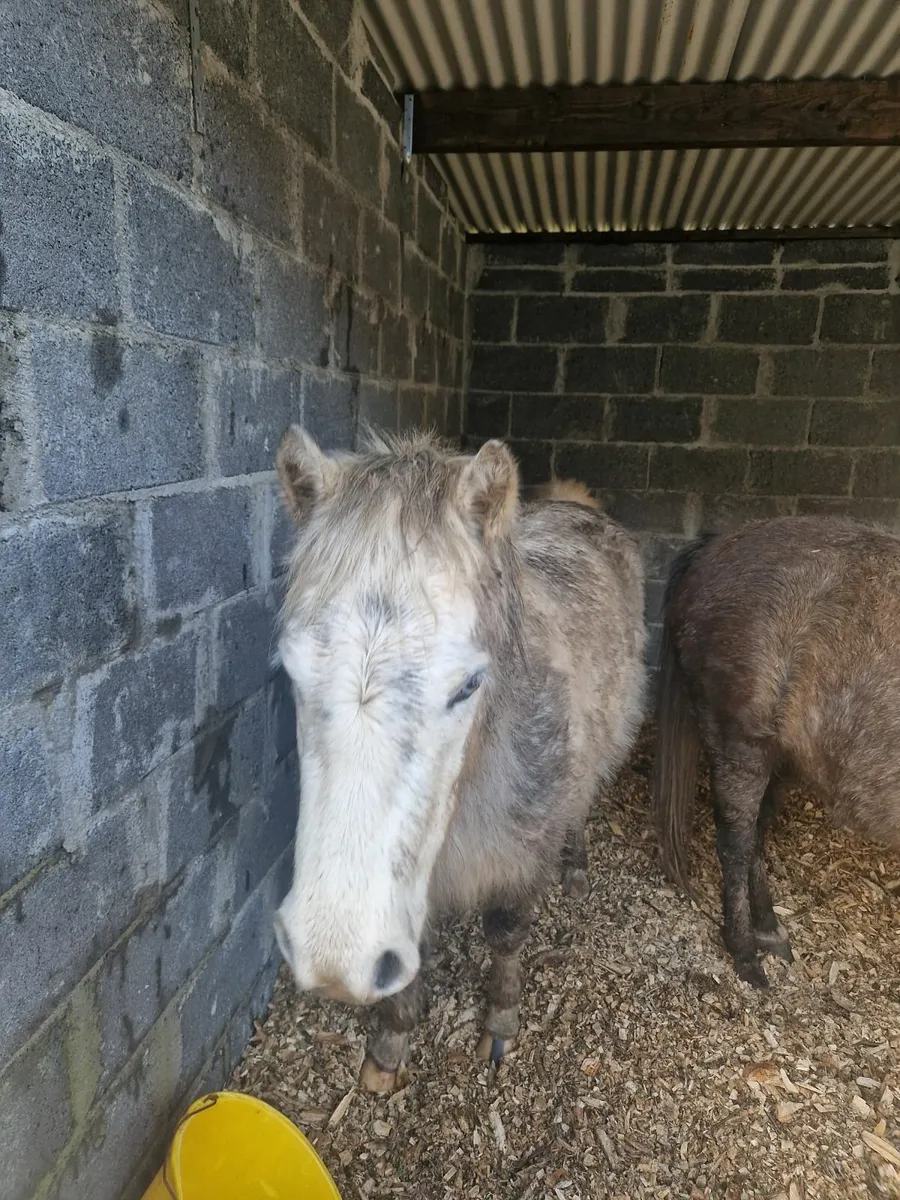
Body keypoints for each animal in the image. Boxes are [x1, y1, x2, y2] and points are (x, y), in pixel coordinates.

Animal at [272, 427, 647, 1091]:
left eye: (469, 684)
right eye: (292, 671)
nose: (336, 961)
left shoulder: (522, 859)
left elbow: (506, 932)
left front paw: (499, 1020)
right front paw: (390, 1041)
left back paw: (577, 869)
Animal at [652, 514, 900, 988]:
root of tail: (715, 546)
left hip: (779, 754)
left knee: (755, 835)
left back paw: (767, 926)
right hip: (740, 745)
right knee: (736, 842)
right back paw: (745, 951)